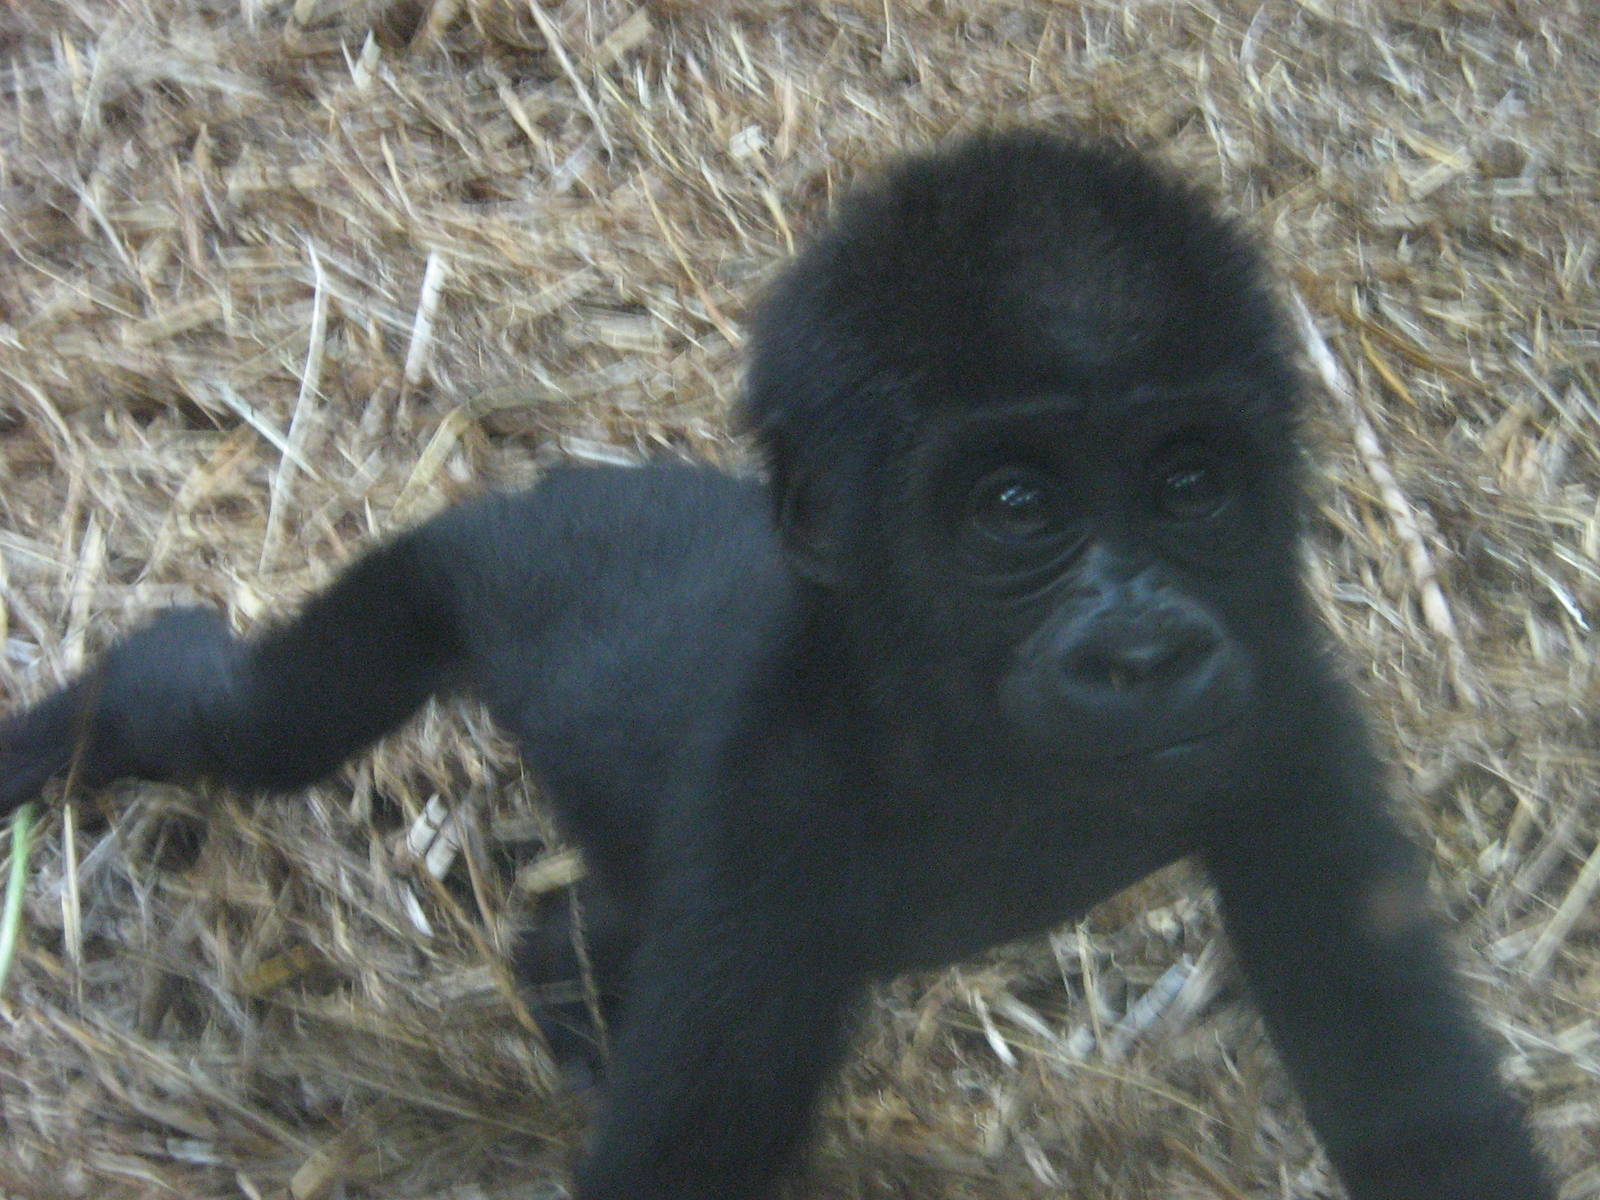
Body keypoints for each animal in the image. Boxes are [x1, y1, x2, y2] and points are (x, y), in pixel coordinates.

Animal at [0, 131, 1554, 1200]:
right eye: (1015, 508)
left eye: (1189, 484)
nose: (1145, 647)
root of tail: (574, 483)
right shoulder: (774, 814)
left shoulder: (1289, 706)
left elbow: (1421, 1107)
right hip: (456, 571)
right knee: (251, 724)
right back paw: (101, 713)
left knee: (599, 918)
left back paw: (560, 982)